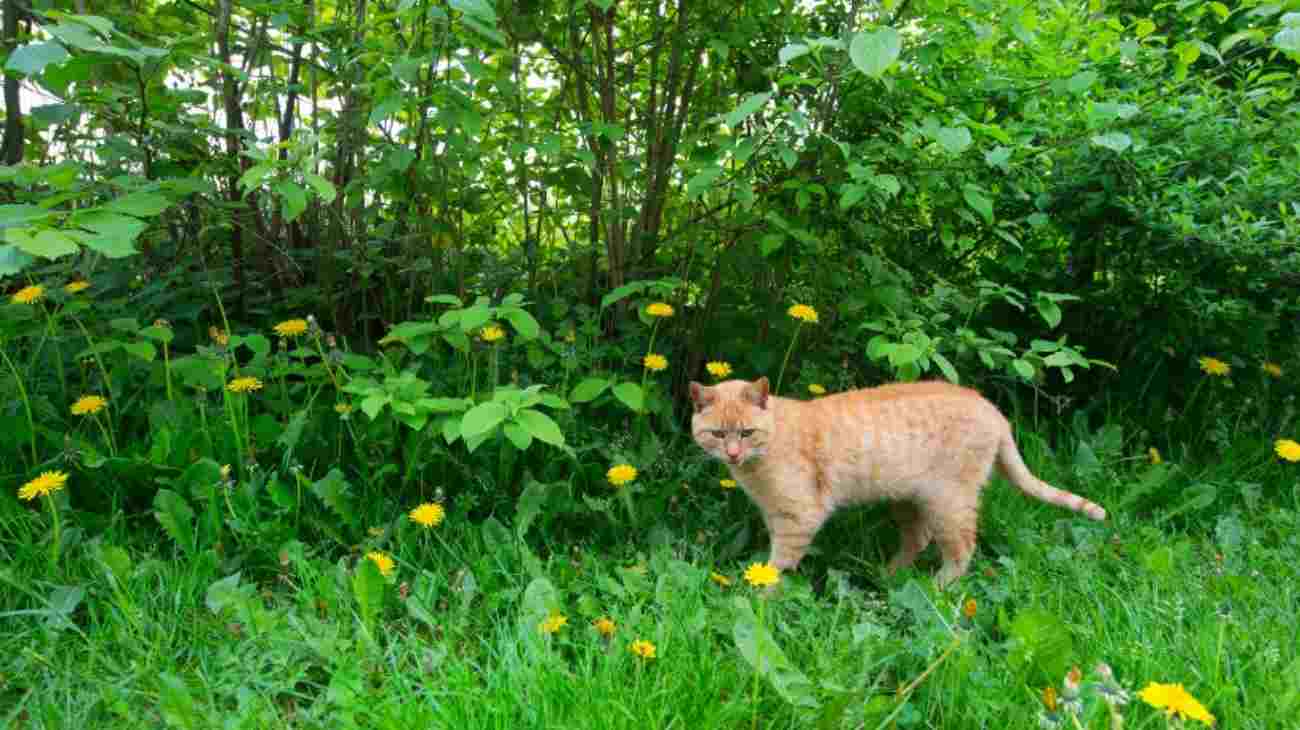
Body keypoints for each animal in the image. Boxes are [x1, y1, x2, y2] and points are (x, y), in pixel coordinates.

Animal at [691, 374, 1107, 584]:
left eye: (745, 433)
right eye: (717, 434)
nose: (732, 454)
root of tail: (991, 407)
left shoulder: (799, 517)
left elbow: (777, 564)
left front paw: (758, 597)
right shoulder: (774, 514)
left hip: (949, 504)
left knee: (962, 550)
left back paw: (935, 589)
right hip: (909, 501)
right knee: (918, 540)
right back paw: (888, 575)